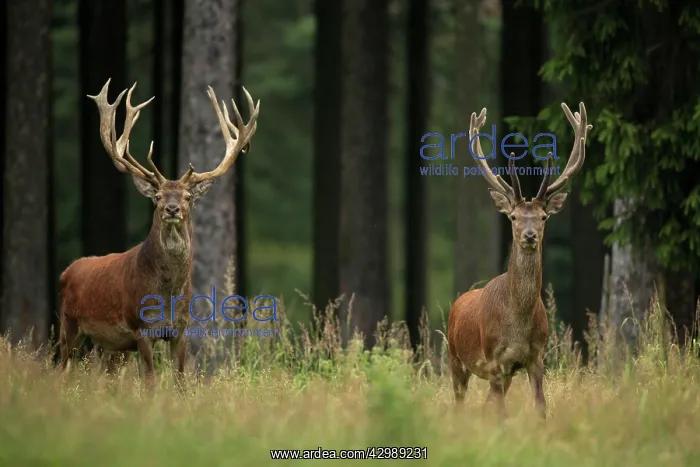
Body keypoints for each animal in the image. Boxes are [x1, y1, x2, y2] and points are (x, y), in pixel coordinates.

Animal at [58, 78, 260, 388]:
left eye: (188, 196)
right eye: (158, 197)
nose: (172, 209)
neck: (167, 295)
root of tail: (67, 271)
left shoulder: (181, 330)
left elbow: (180, 381)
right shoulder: (142, 328)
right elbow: (151, 382)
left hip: (110, 346)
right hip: (68, 324)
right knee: (60, 370)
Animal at [447, 102, 591, 419]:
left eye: (544, 217)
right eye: (513, 216)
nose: (529, 235)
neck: (517, 324)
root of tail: (457, 302)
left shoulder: (535, 356)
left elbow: (540, 407)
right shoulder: (494, 359)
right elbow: (501, 413)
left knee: (485, 402)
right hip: (455, 357)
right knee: (460, 401)